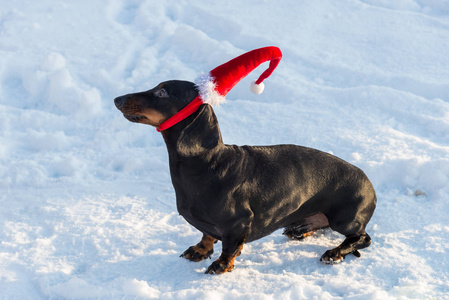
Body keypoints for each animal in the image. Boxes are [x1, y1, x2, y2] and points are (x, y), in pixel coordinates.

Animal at [114, 80, 376, 274]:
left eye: (162, 92)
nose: (117, 99)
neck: (208, 164)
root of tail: (370, 186)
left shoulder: (238, 222)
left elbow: (229, 246)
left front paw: (221, 264)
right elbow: (207, 234)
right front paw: (200, 250)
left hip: (344, 219)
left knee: (362, 237)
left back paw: (335, 253)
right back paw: (301, 228)